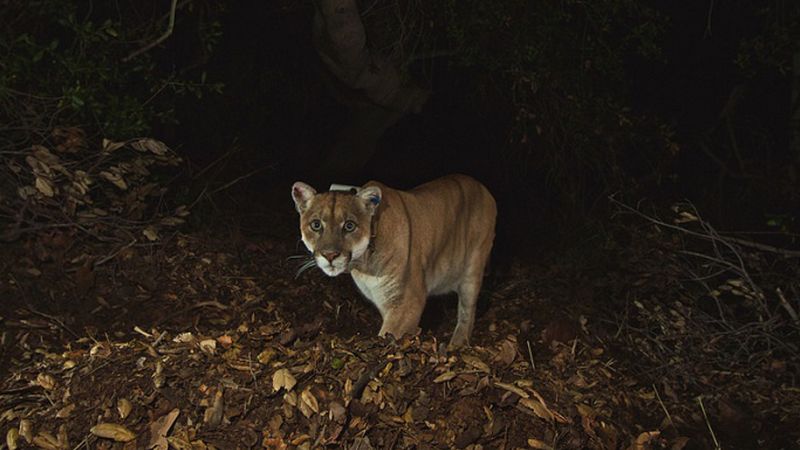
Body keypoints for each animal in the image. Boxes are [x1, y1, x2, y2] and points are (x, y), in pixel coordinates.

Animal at [290, 175, 496, 348]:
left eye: (349, 226)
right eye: (316, 225)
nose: (330, 255)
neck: (363, 264)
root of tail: (482, 187)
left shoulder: (407, 302)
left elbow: (388, 335)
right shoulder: (384, 300)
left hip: (473, 269)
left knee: (467, 312)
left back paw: (457, 344)